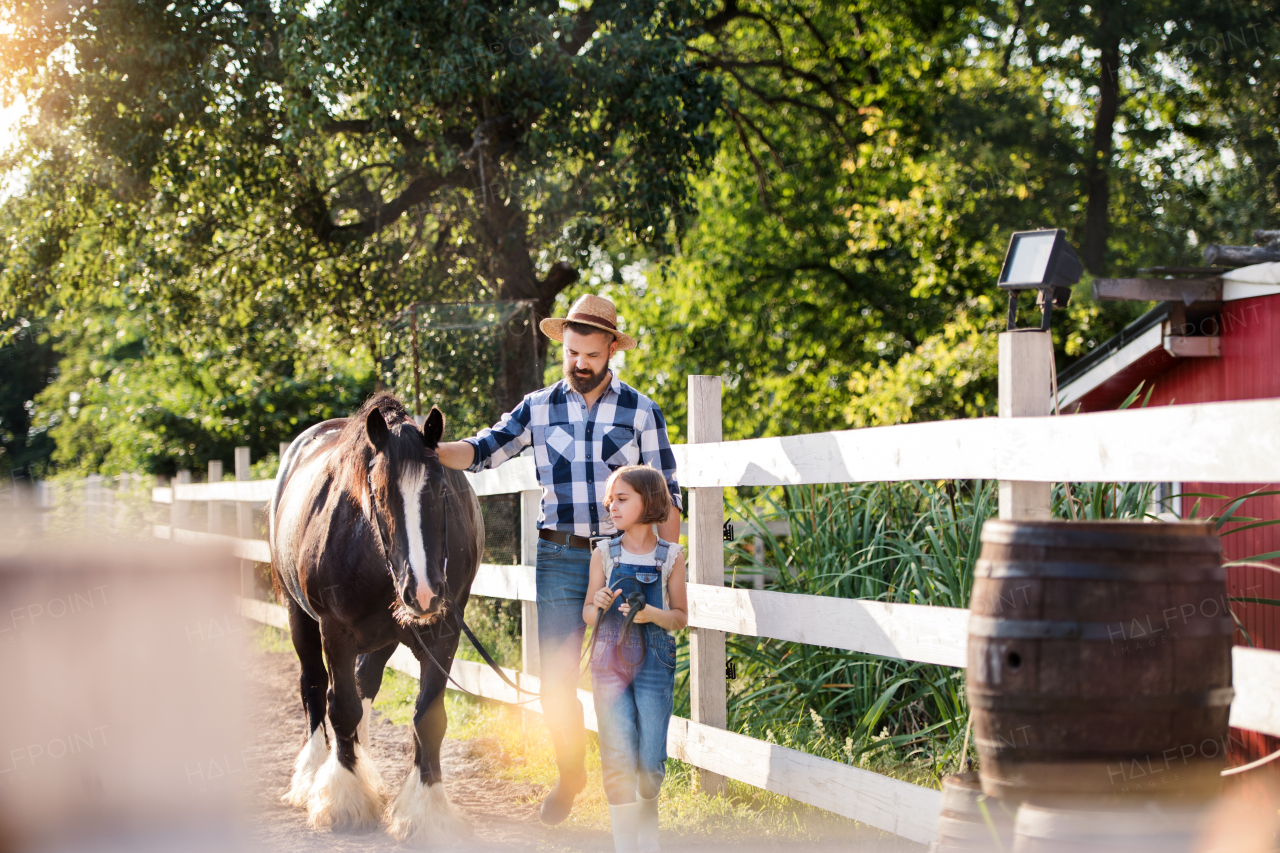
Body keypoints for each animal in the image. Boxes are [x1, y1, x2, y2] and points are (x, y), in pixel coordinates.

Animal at [267, 394, 481, 835]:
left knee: (364, 684)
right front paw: (344, 797)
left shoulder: (443, 632)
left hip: (385, 637)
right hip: (300, 619)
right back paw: (312, 775)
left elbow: (428, 717)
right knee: (314, 688)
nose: (423, 591)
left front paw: (425, 809)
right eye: (378, 495)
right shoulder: (335, 631)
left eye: (441, 490)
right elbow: (340, 706)